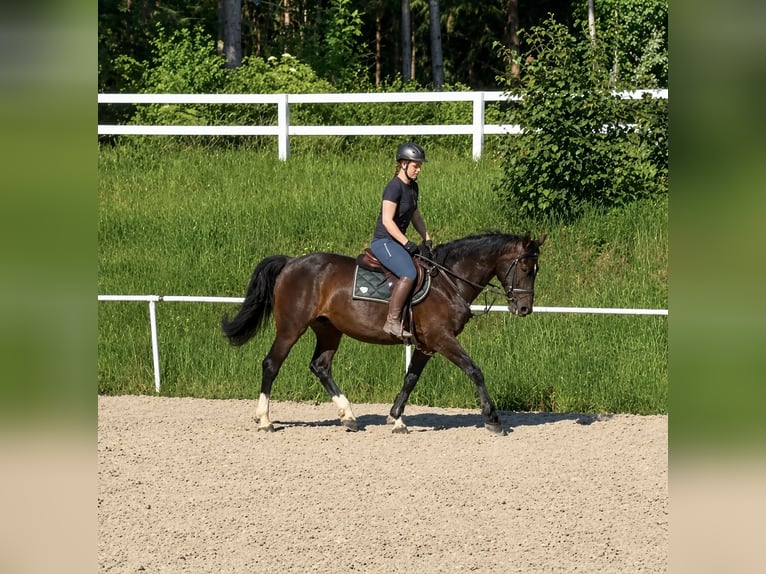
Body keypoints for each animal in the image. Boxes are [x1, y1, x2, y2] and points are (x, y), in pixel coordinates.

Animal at [221, 231, 546, 435]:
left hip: (329, 330)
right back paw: (265, 420)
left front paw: (396, 418)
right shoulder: (442, 339)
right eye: (525, 267)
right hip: (291, 327)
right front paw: (492, 418)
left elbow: (410, 379)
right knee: (271, 364)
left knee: (320, 366)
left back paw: (348, 416)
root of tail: (291, 262)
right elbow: (474, 370)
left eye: (536, 269)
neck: (448, 281)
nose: (524, 308)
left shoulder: (427, 345)